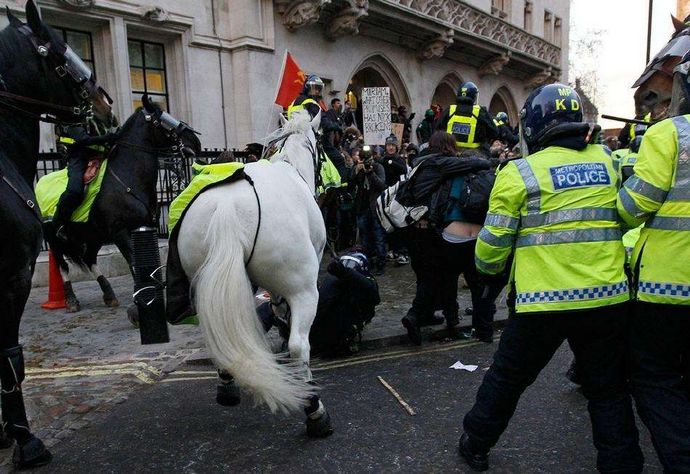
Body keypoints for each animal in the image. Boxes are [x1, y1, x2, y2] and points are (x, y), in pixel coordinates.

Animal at [44, 94, 200, 314]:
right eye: (162, 120)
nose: (196, 141)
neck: (127, 179)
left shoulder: (143, 227)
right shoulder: (120, 232)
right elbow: (134, 262)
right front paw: (140, 300)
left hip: (94, 235)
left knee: (89, 258)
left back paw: (109, 294)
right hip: (54, 237)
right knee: (61, 264)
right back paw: (71, 300)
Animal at [175, 111, 330, 436]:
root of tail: (228, 209)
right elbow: (282, 313)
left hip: (212, 284)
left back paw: (227, 385)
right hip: (304, 290)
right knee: (299, 346)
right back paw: (314, 410)